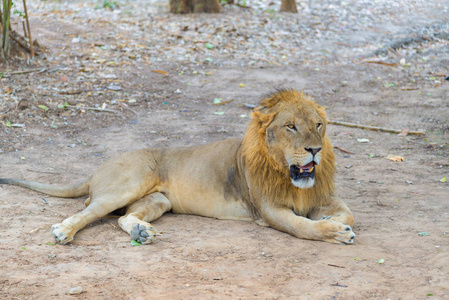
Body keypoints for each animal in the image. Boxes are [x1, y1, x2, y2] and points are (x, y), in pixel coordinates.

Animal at [0, 88, 354, 245]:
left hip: (159, 200)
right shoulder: (268, 210)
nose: (314, 150)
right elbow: (303, 227)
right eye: (291, 127)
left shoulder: (323, 197)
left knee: (124, 218)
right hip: (129, 182)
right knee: (87, 211)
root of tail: (100, 166)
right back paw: (63, 231)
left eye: (319, 125)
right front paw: (335, 232)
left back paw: (141, 231)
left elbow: (347, 213)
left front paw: (335, 221)